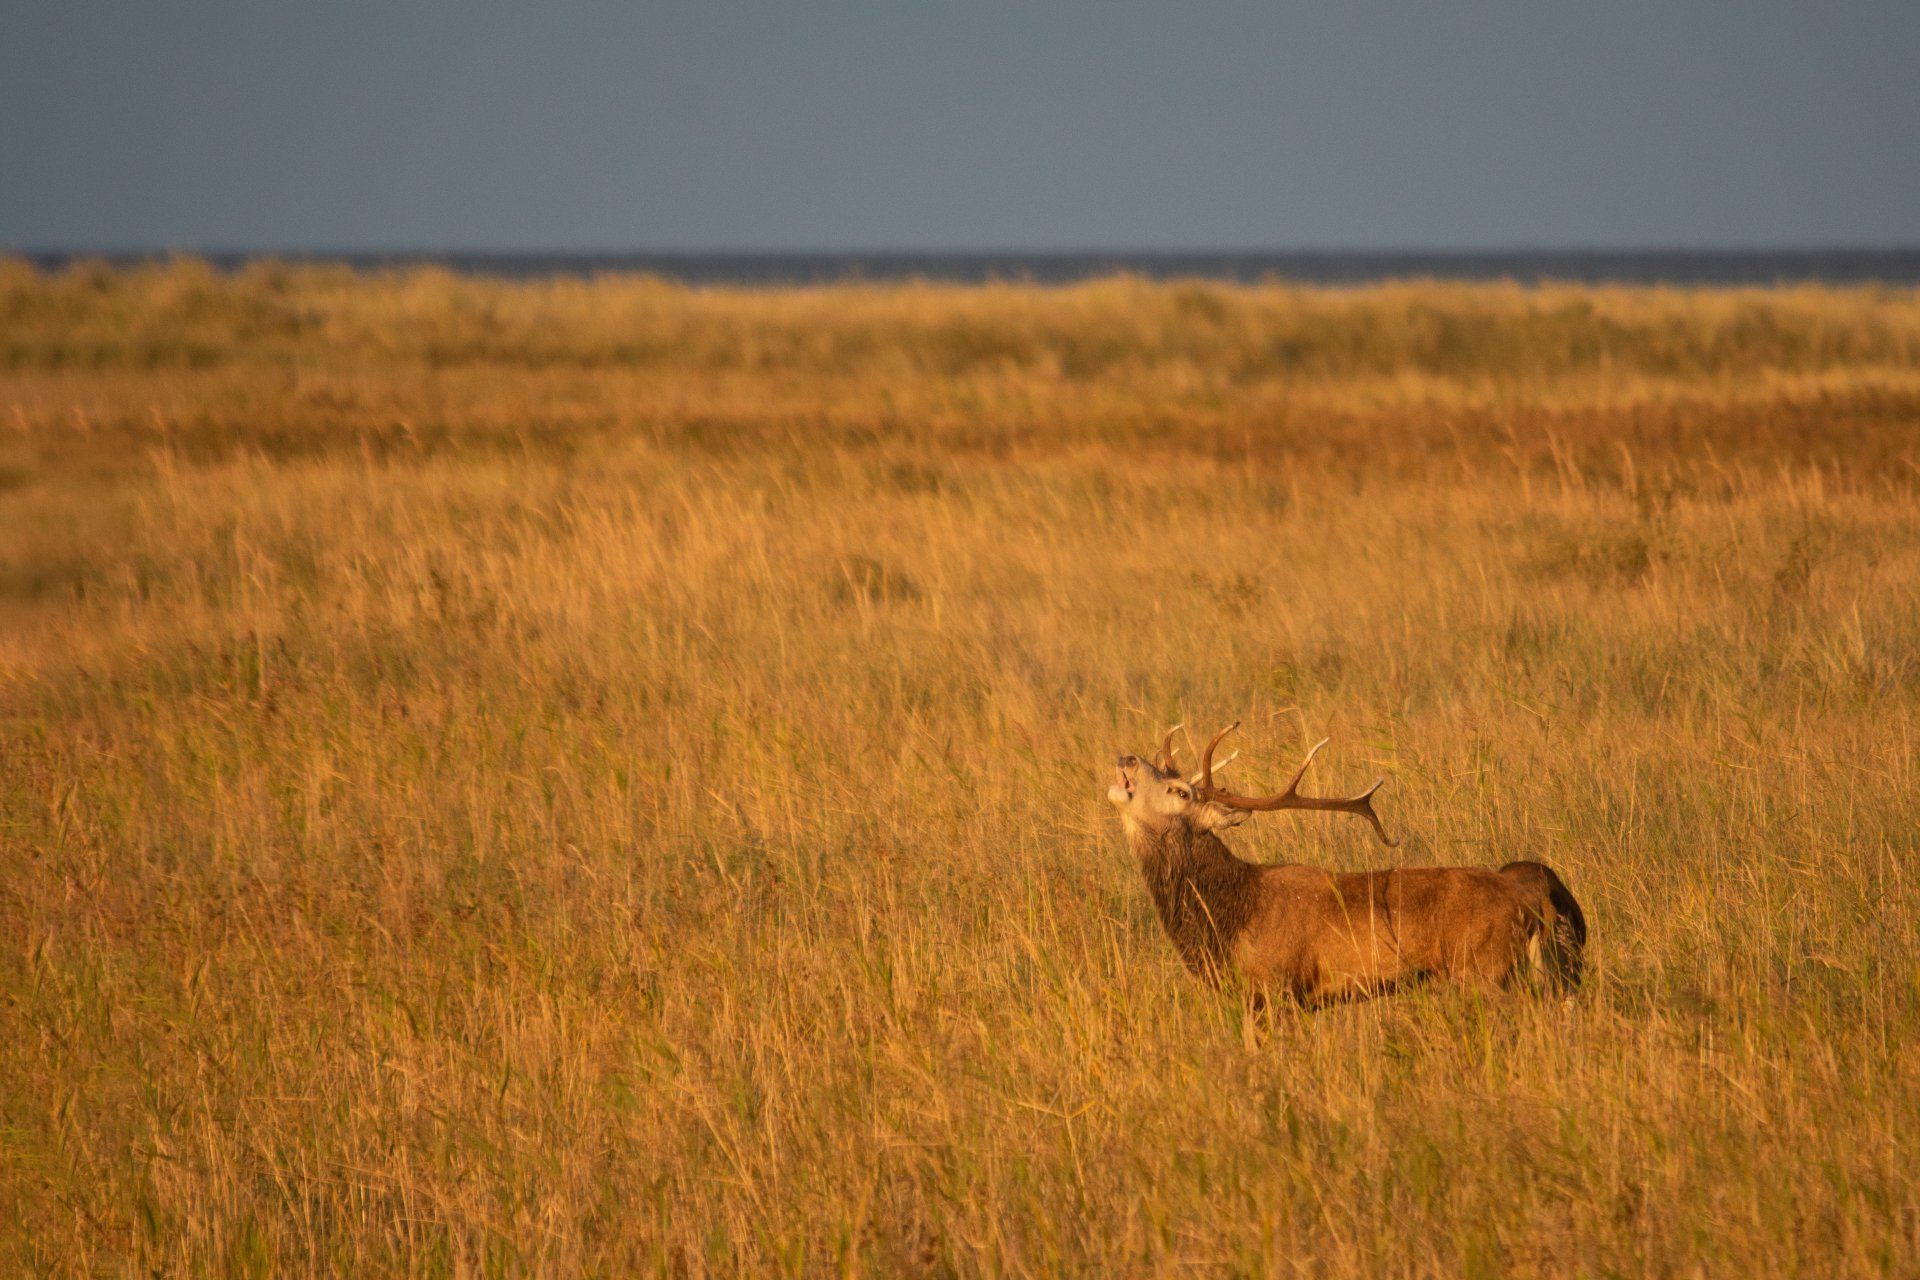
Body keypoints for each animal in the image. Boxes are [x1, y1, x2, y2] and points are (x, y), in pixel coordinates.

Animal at [1107, 724, 1586, 1004]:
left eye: (1180, 792)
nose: (1126, 758)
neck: (1231, 914)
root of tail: (1530, 898)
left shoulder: (1276, 986)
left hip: (1485, 969)